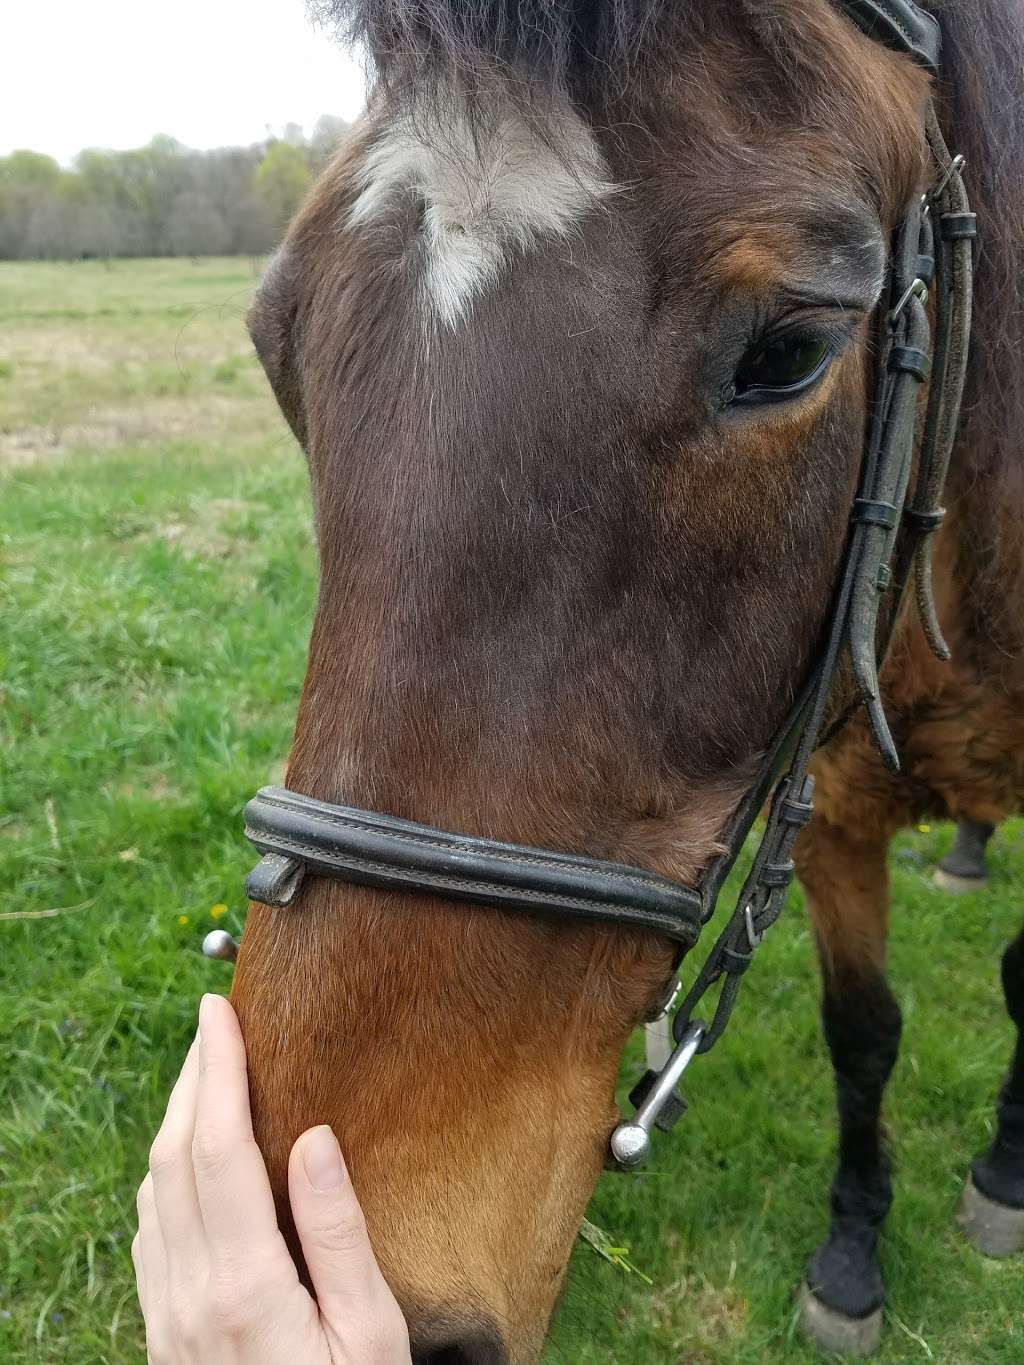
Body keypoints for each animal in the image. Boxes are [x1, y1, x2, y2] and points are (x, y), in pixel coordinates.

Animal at [230, 0, 1024, 1359]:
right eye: (278, 345)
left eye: (792, 351)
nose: (345, 1299)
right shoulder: (823, 805)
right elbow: (861, 1032)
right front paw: (854, 1250)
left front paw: (1002, 1177)